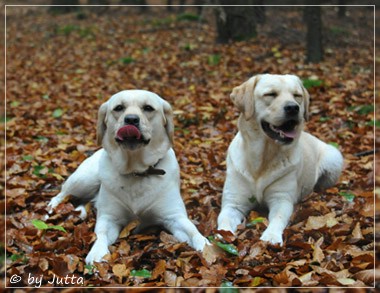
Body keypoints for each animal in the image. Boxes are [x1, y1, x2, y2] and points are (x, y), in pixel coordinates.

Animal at [48, 88, 208, 262]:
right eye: (119, 108)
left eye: (148, 108)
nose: (131, 119)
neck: (136, 171)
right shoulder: (109, 218)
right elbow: (100, 234)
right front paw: (97, 252)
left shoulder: (174, 216)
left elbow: (193, 232)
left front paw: (207, 247)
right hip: (84, 180)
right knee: (62, 194)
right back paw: (52, 208)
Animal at [217, 73, 344, 244]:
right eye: (270, 94)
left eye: (297, 95)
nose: (293, 108)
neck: (262, 159)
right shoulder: (233, 202)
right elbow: (224, 220)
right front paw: (223, 235)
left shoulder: (281, 199)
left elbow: (277, 218)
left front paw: (271, 236)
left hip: (333, 157)